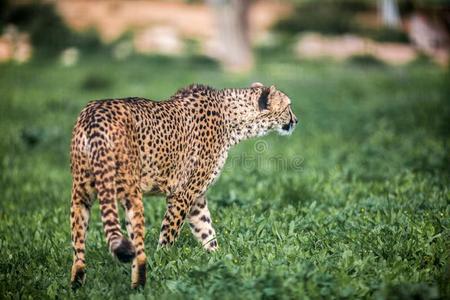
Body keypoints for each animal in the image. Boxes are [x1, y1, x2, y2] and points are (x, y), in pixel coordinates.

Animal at [70, 82, 298, 288]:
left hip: (81, 194)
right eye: (288, 106)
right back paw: (140, 284)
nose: (296, 120)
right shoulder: (183, 194)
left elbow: (206, 229)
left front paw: (220, 259)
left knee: (78, 247)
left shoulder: (196, 198)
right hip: (130, 194)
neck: (232, 118)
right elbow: (169, 234)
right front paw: (162, 261)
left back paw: (77, 284)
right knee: (137, 249)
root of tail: (96, 113)